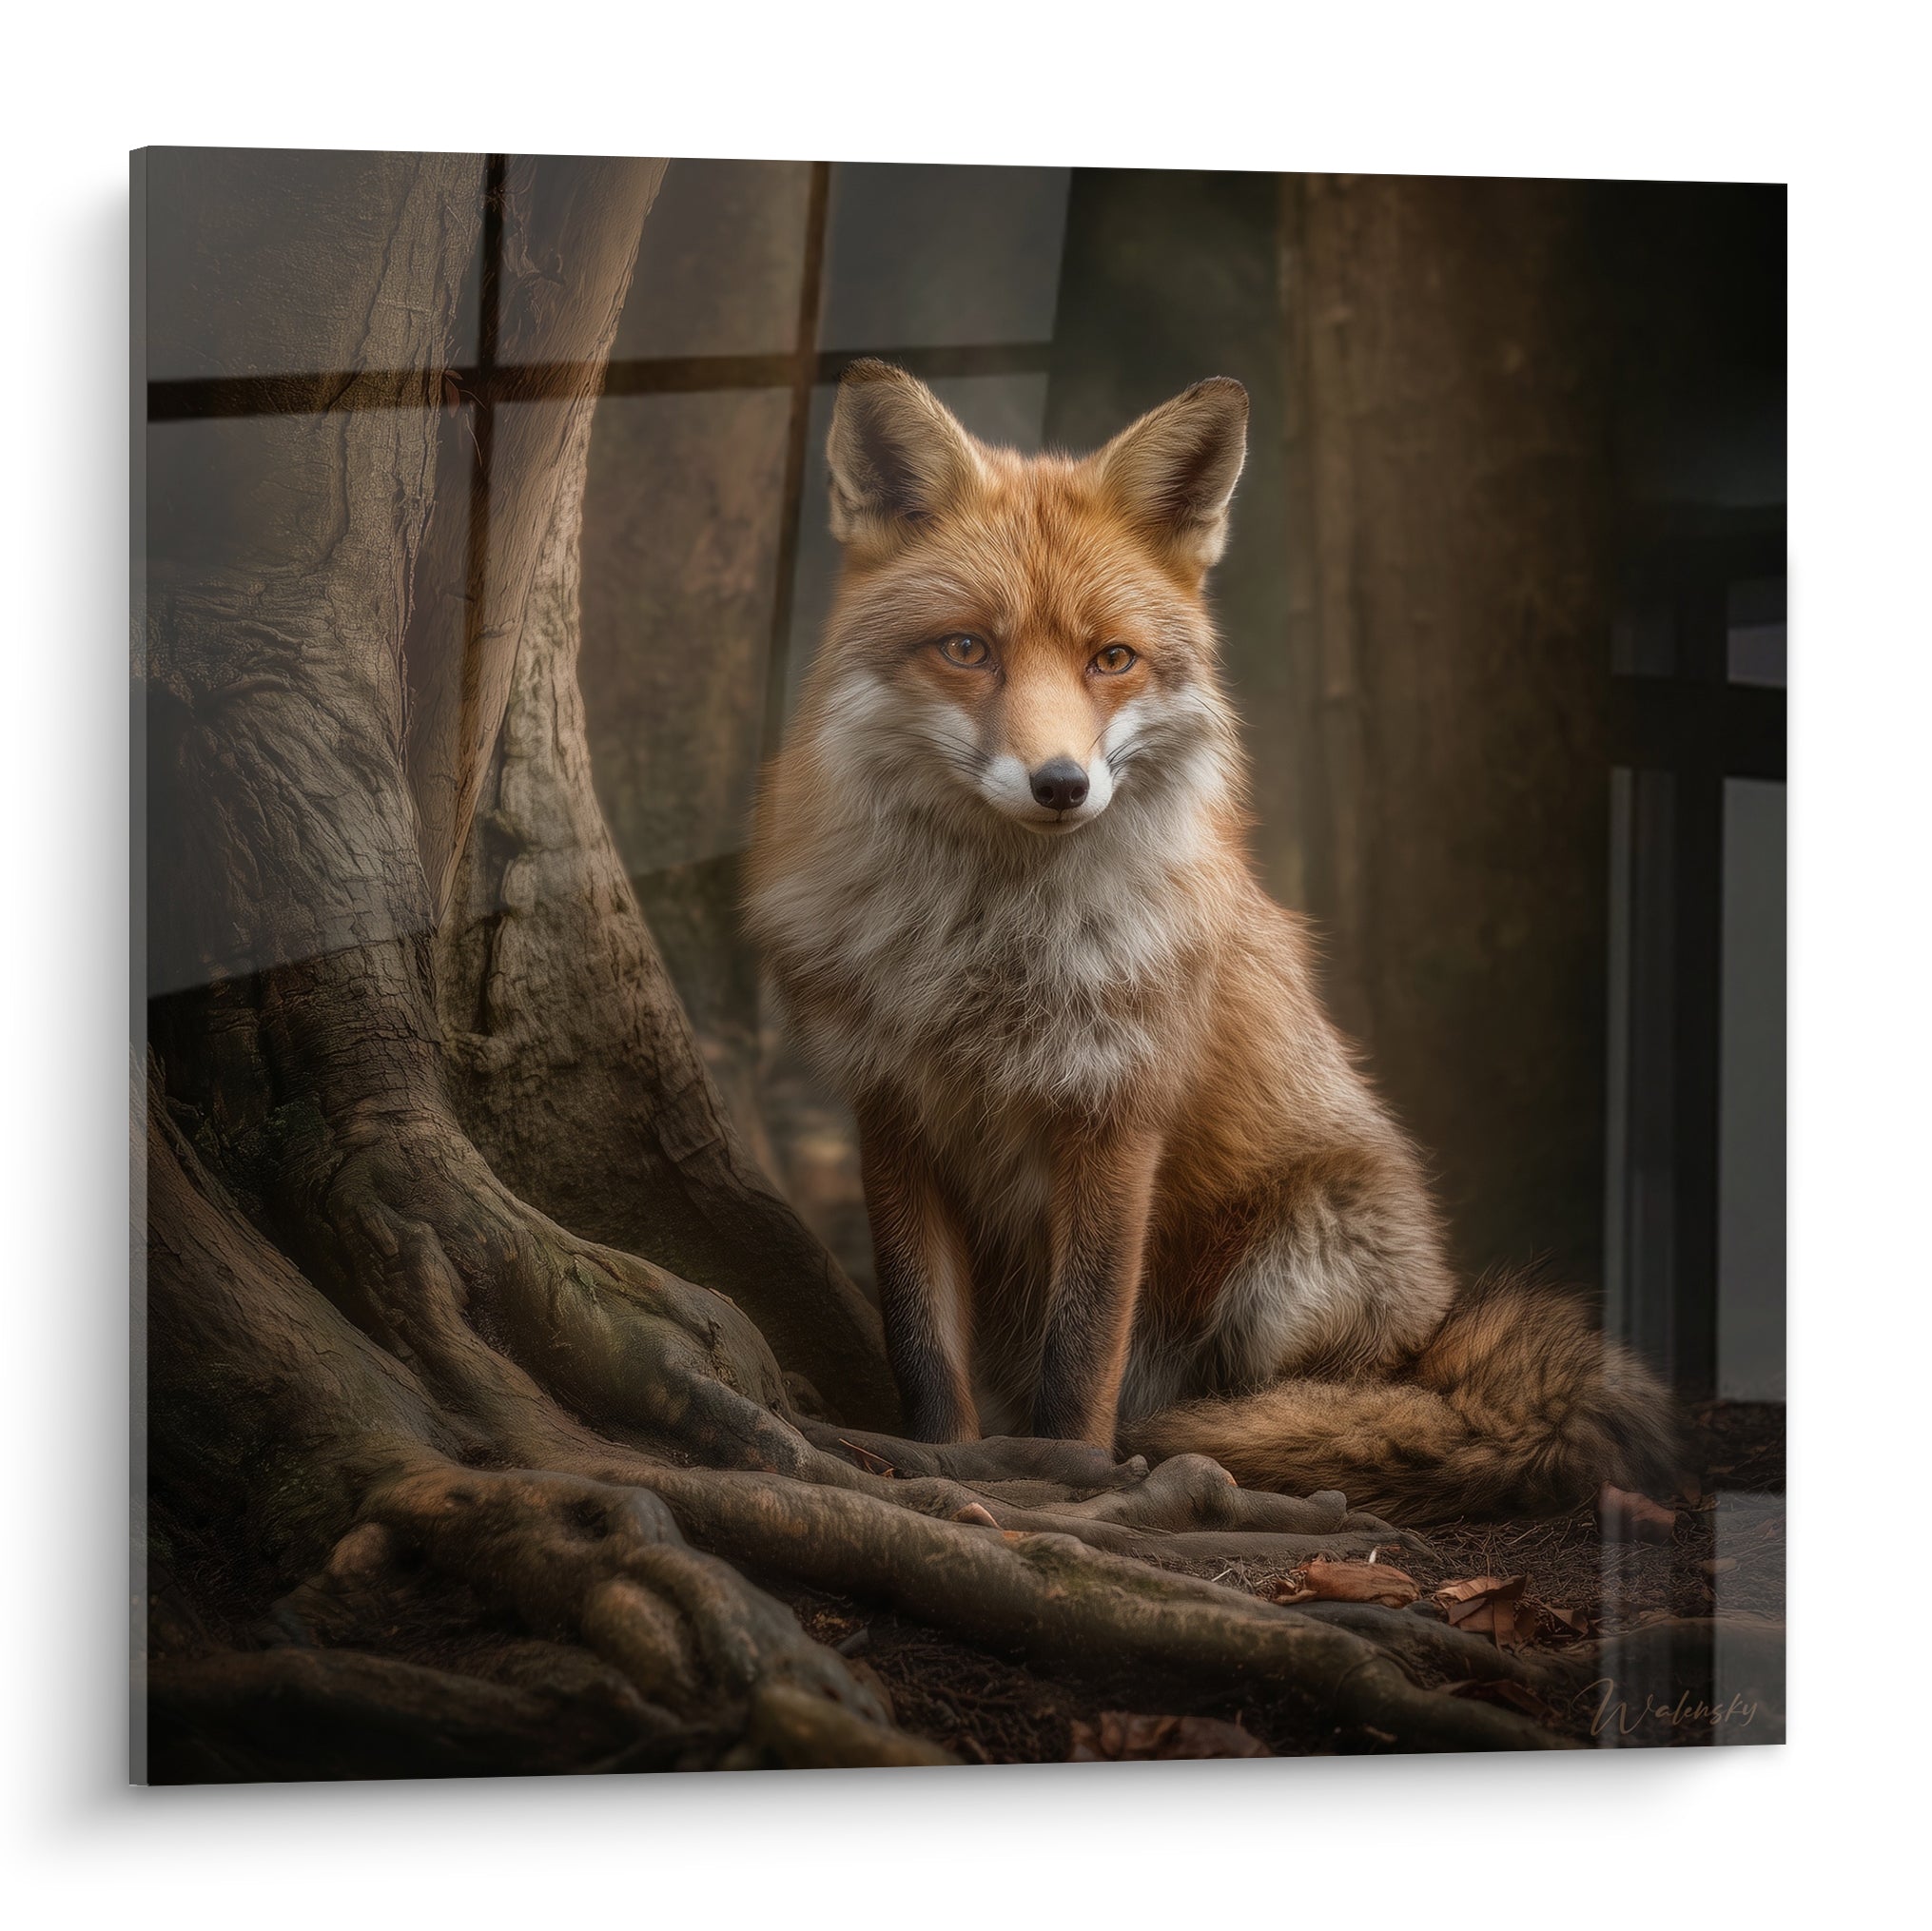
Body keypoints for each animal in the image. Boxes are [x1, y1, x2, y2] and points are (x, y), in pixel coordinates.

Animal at [745, 358, 1679, 1523]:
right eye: (967, 649)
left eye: (1112, 659)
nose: (1062, 784)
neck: (987, 950)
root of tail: (1429, 1331)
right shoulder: (894, 1112)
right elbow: (923, 1352)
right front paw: (945, 1465)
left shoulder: (1115, 1112)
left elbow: (1081, 1356)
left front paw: (1067, 1477)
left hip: (1291, 1271)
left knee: (1320, 1401)